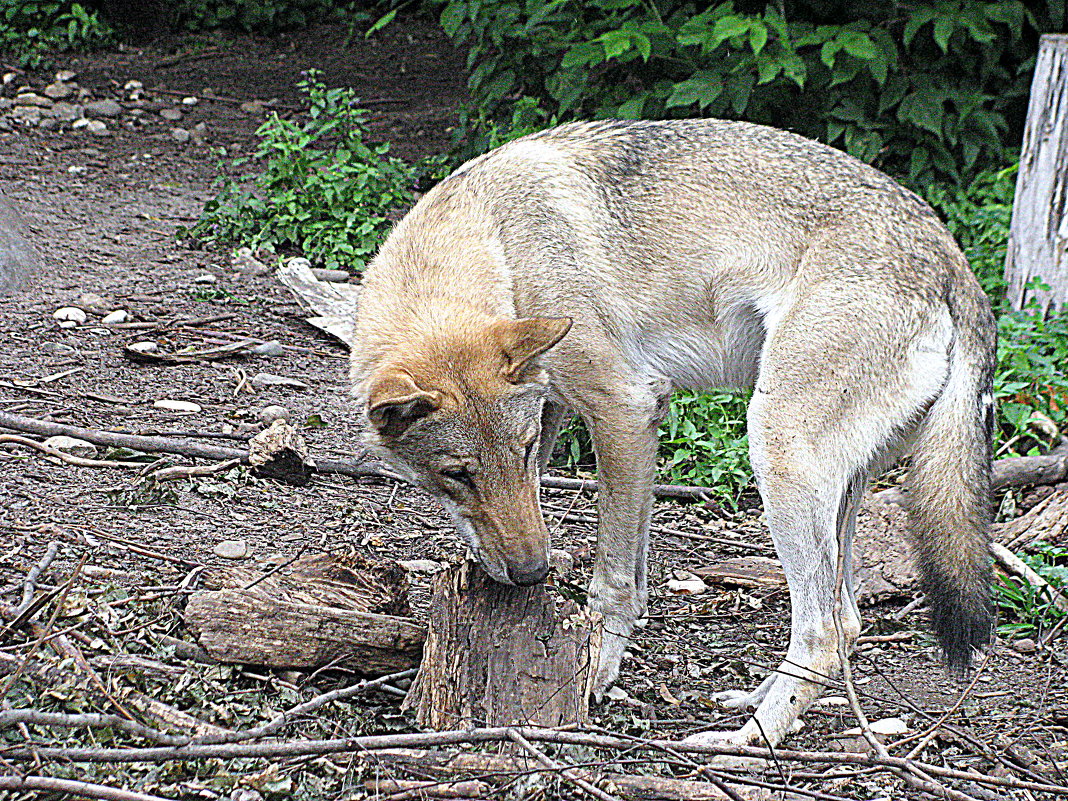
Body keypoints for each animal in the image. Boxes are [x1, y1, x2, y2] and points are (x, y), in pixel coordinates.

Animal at [348, 120, 991, 751]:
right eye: (457, 475)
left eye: (523, 451)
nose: (531, 573)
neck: (501, 243)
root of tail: (954, 262)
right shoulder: (581, 414)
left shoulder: (626, 412)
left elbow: (612, 582)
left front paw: (591, 676)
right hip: (834, 490)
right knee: (849, 618)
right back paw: (753, 700)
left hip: (775, 452)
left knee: (823, 633)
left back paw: (749, 738)